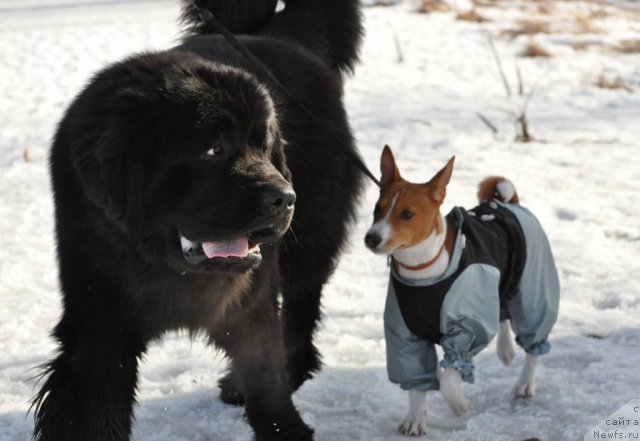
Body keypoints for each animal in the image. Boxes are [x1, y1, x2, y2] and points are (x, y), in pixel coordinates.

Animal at [33, 1, 364, 438]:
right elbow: (95, 408)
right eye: (213, 149)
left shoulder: (249, 303)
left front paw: (284, 425)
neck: (169, 268)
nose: (285, 198)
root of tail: (281, 37)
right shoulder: (100, 320)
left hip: (311, 239)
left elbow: (266, 376)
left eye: (264, 145)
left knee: (300, 307)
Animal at [368, 146, 556, 434]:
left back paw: (525, 382)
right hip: (500, 281)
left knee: (532, 340)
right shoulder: (405, 336)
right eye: (377, 208)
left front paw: (460, 406)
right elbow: (417, 384)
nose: (371, 238)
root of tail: (509, 203)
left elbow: (448, 378)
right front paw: (415, 418)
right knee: (501, 312)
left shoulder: (466, 332)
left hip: (532, 289)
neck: (423, 272)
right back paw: (505, 350)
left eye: (406, 214)